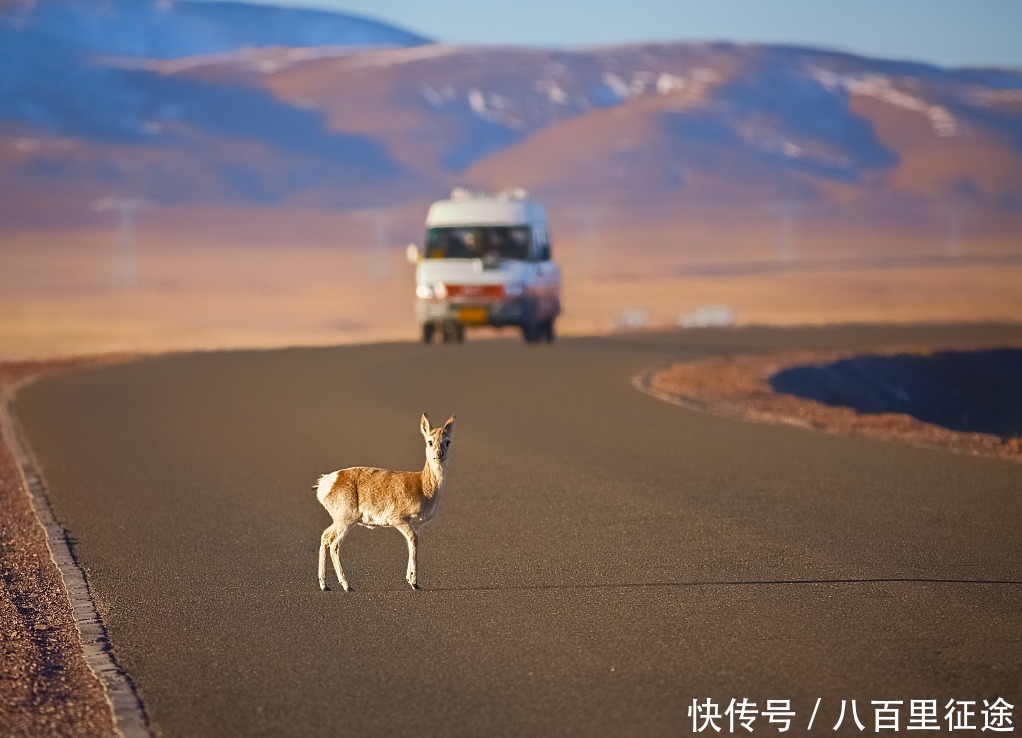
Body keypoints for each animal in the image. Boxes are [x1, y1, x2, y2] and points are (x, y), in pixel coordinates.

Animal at [312, 410, 453, 588]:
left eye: (448, 442)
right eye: (430, 441)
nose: (439, 454)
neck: (422, 483)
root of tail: (327, 481)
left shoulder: (416, 525)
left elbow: (412, 542)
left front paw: (410, 579)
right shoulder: (398, 520)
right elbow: (413, 540)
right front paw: (414, 583)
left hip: (339, 521)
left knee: (325, 537)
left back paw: (325, 585)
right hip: (346, 521)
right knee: (334, 544)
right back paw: (346, 585)